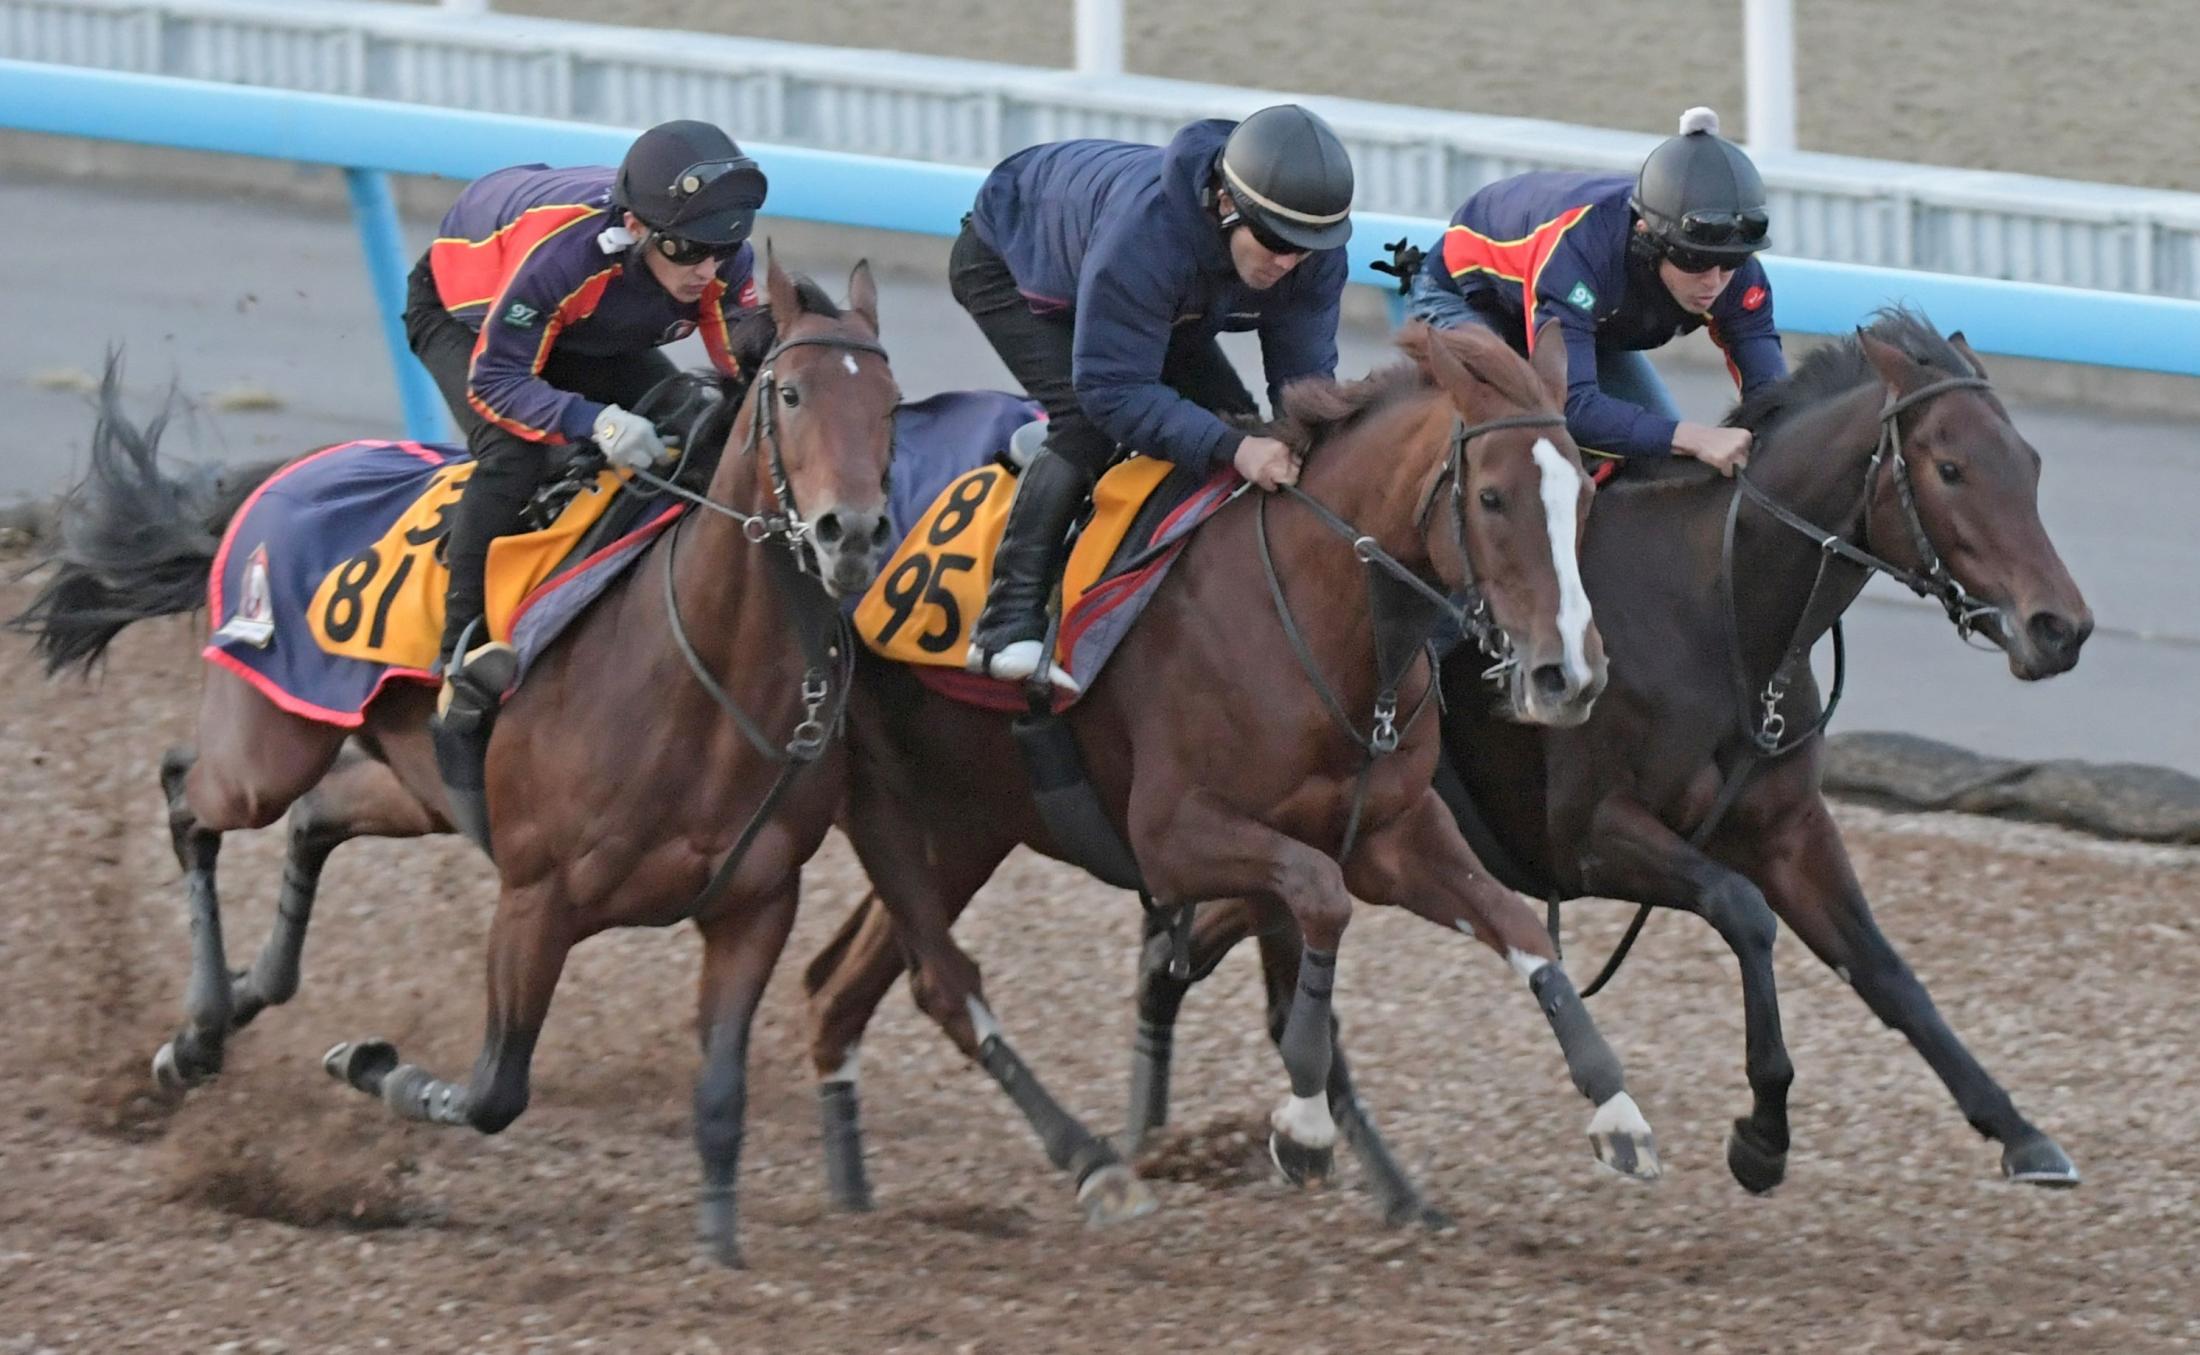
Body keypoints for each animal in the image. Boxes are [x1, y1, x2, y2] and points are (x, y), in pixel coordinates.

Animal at [12, 259, 897, 1267]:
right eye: (791, 395)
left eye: (893, 406)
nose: (850, 533)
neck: (702, 676)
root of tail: (283, 475)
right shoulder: (536, 899)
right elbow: (494, 1090)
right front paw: (370, 1064)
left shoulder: (755, 906)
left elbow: (719, 1092)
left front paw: (718, 1250)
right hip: (266, 748)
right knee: (186, 791)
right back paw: (195, 1033)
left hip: (420, 784)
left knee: (314, 818)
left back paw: (240, 999)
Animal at [796, 321, 1654, 1231]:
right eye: (1491, 497)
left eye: (1583, 497)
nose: (1570, 675)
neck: (1316, 620)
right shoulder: (1174, 839)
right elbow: (1320, 905)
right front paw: (1303, 1129)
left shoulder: (1390, 833)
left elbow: (1518, 927)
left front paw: (1617, 1110)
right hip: (888, 796)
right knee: (936, 980)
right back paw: (1093, 1162)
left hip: (966, 819)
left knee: (848, 984)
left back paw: (855, 1179)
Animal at [1117, 307, 2094, 1214]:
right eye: (1951, 467)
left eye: (2032, 463)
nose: (2062, 627)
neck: (1716, 609)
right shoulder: (1593, 835)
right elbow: (1743, 911)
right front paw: (1762, 1133)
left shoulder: (1788, 828)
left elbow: (1888, 970)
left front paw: (2021, 1131)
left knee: (1188, 947)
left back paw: (1164, 1125)